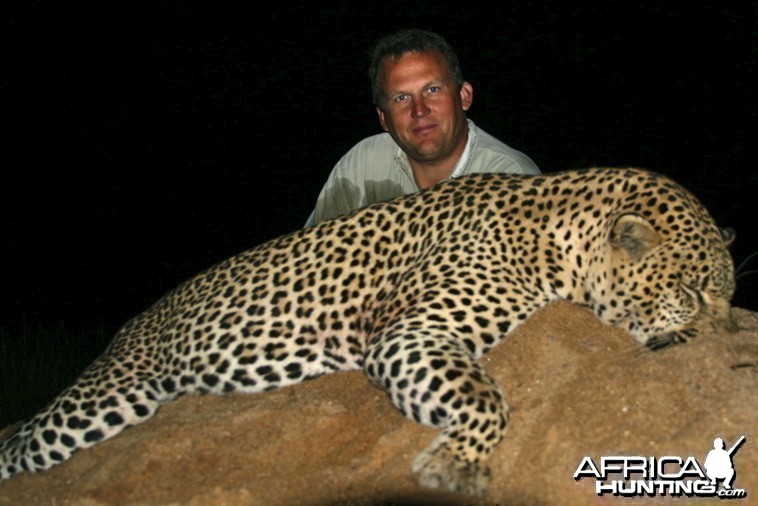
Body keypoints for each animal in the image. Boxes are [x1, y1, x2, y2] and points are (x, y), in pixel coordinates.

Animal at [0, 167, 736, 494]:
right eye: (693, 292)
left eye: (732, 294)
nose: (726, 335)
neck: (559, 239)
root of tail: (129, 324)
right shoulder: (411, 333)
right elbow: (487, 398)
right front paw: (455, 464)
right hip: (109, 397)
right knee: (22, 444)